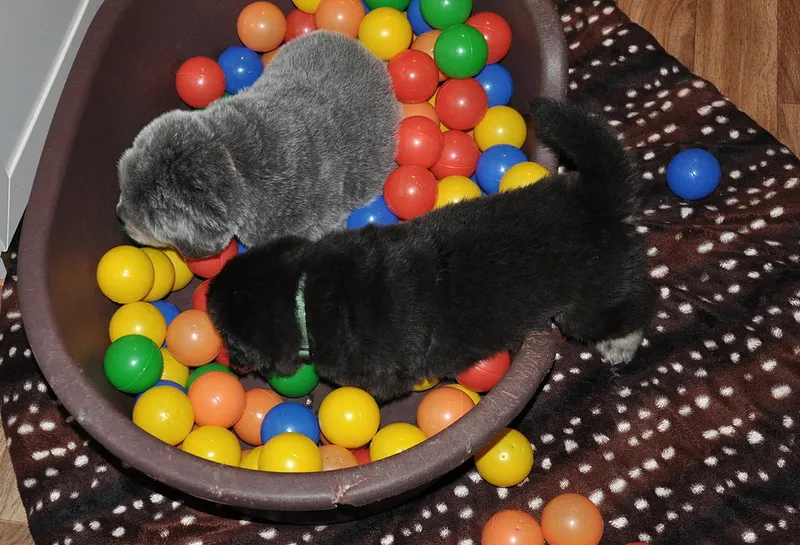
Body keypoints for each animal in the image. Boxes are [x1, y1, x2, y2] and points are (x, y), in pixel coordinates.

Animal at [206, 98, 656, 402]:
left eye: (226, 335)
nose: (228, 361)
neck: (304, 291)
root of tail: (592, 200)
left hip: (591, 302)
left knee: (635, 308)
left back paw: (621, 345)